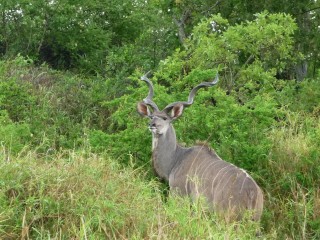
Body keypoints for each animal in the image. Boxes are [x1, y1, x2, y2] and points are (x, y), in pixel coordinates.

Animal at [136, 72, 264, 221]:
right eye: (151, 116)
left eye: (165, 118)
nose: (152, 125)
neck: (176, 158)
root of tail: (252, 192)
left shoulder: (179, 196)